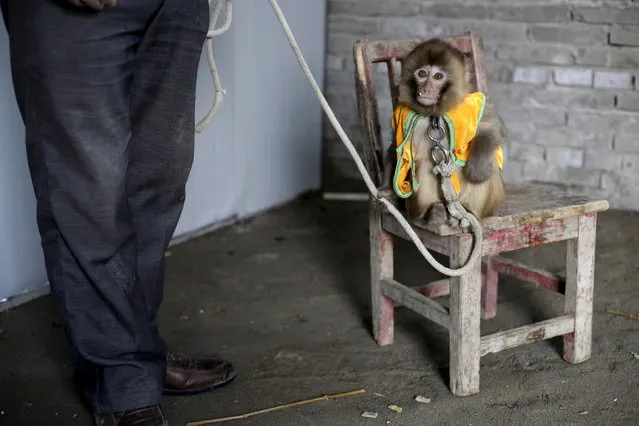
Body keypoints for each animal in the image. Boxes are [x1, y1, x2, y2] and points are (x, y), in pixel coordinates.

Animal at [378, 38, 508, 228]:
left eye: (438, 77)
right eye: (422, 74)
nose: (425, 89)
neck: (434, 114)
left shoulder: (471, 103)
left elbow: (490, 127)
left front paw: (478, 167)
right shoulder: (401, 116)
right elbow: (397, 149)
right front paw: (388, 191)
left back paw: (467, 210)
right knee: (423, 163)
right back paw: (434, 211)